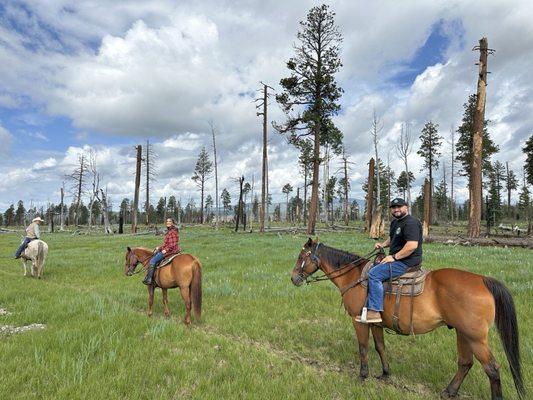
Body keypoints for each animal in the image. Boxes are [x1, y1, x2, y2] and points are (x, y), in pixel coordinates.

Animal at [290, 239, 524, 398]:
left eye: (301, 257)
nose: (293, 278)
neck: (354, 276)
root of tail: (483, 280)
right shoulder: (375, 322)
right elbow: (380, 347)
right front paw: (385, 374)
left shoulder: (358, 320)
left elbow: (364, 348)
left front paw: (362, 376)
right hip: (462, 333)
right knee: (465, 363)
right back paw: (449, 391)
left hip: (475, 337)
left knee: (491, 368)